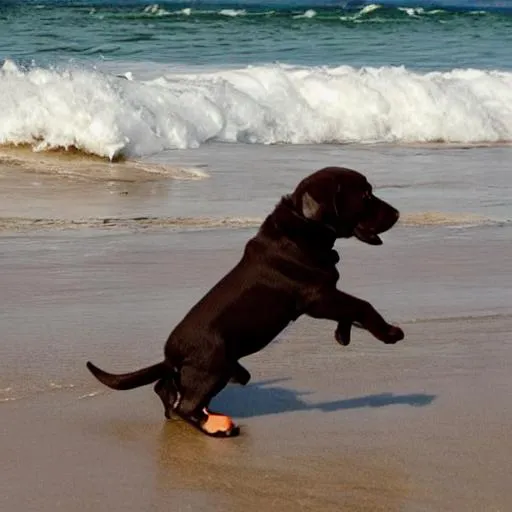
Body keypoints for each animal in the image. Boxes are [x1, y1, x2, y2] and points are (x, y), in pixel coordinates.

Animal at [88, 167, 404, 436]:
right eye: (365, 195)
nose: (398, 213)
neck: (304, 227)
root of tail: (171, 356)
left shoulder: (327, 295)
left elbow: (350, 308)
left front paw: (343, 334)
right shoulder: (317, 297)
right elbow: (361, 304)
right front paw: (389, 333)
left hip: (213, 370)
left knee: (166, 387)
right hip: (214, 366)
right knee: (185, 405)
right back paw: (215, 427)